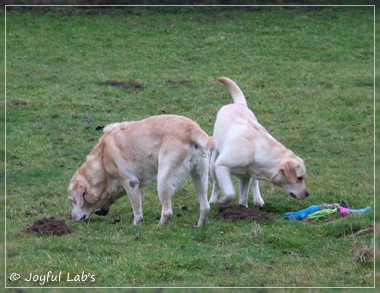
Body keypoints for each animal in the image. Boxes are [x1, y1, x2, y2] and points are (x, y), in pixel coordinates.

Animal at [68, 114, 215, 226]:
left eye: (72, 201)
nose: (71, 217)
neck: (103, 158)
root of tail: (193, 130)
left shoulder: (130, 182)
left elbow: (136, 208)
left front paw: (136, 224)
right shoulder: (125, 184)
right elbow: (114, 195)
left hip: (163, 181)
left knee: (167, 212)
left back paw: (159, 226)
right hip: (200, 179)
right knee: (205, 207)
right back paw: (199, 226)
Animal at [209, 76, 310, 206]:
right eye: (299, 178)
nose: (307, 194)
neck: (256, 150)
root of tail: (239, 104)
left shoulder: (245, 177)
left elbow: (243, 198)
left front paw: (242, 208)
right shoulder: (221, 166)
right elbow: (230, 193)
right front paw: (222, 201)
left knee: (254, 183)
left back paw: (258, 200)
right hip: (213, 165)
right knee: (216, 183)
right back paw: (212, 200)